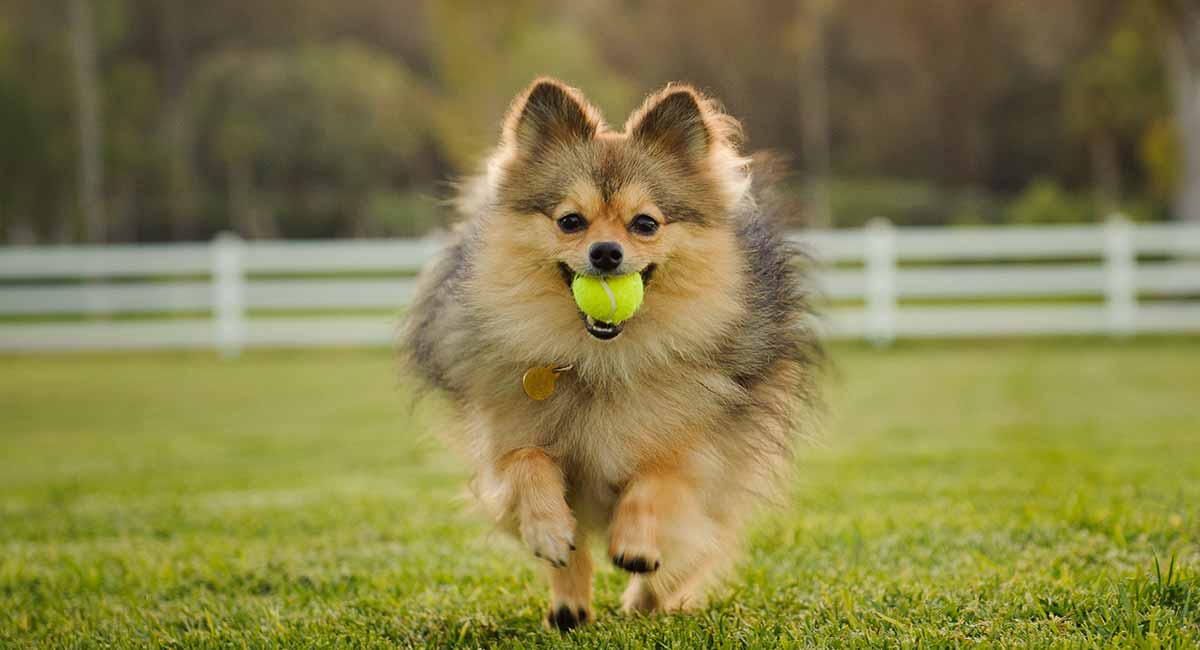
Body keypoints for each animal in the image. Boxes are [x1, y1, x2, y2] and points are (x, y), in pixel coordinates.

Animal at [403, 76, 825, 633]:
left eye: (645, 224)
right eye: (570, 221)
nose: (606, 253)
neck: (600, 360)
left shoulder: (695, 451)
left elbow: (655, 478)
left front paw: (636, 546)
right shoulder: (507, 439)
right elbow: (527, 464)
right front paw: (548, 529)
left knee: (691, 554)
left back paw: (650, 598)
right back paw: (569, 606)